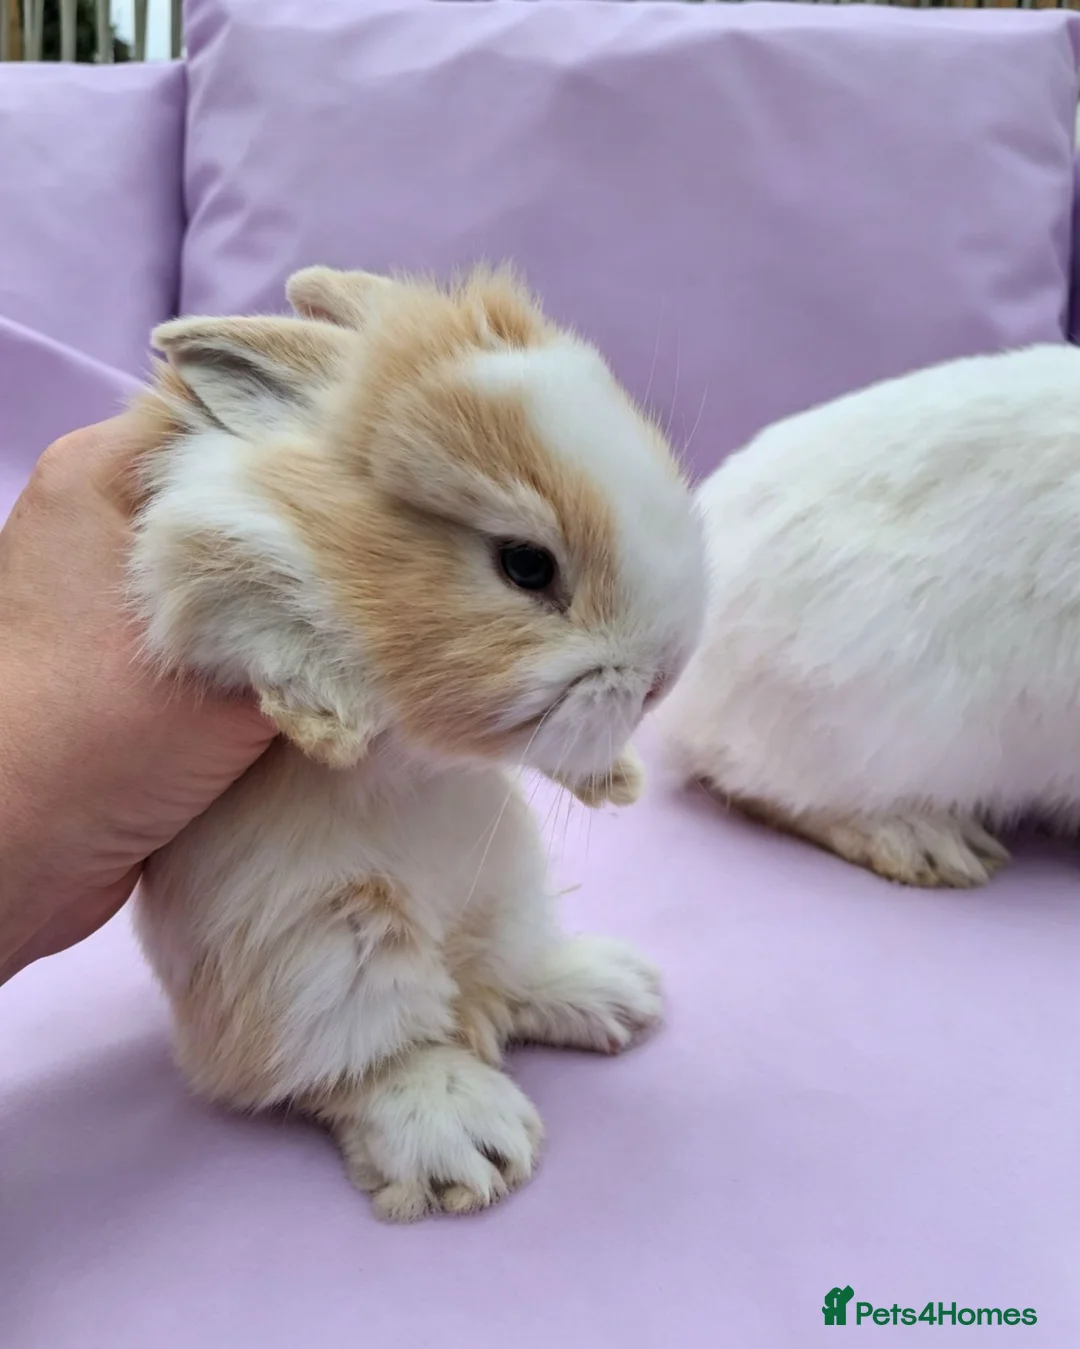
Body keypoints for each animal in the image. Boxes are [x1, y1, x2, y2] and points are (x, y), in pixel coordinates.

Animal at [127, 263, 706, 1221]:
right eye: (525, 564)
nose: (665, 676)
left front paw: (614, 778)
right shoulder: (210, 540)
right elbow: (250, 591)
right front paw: (328, 718)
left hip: (507, 889)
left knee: (509, 978)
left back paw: (613, 991)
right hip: (330, 948)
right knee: (366, 1057)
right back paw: (466, 1138)